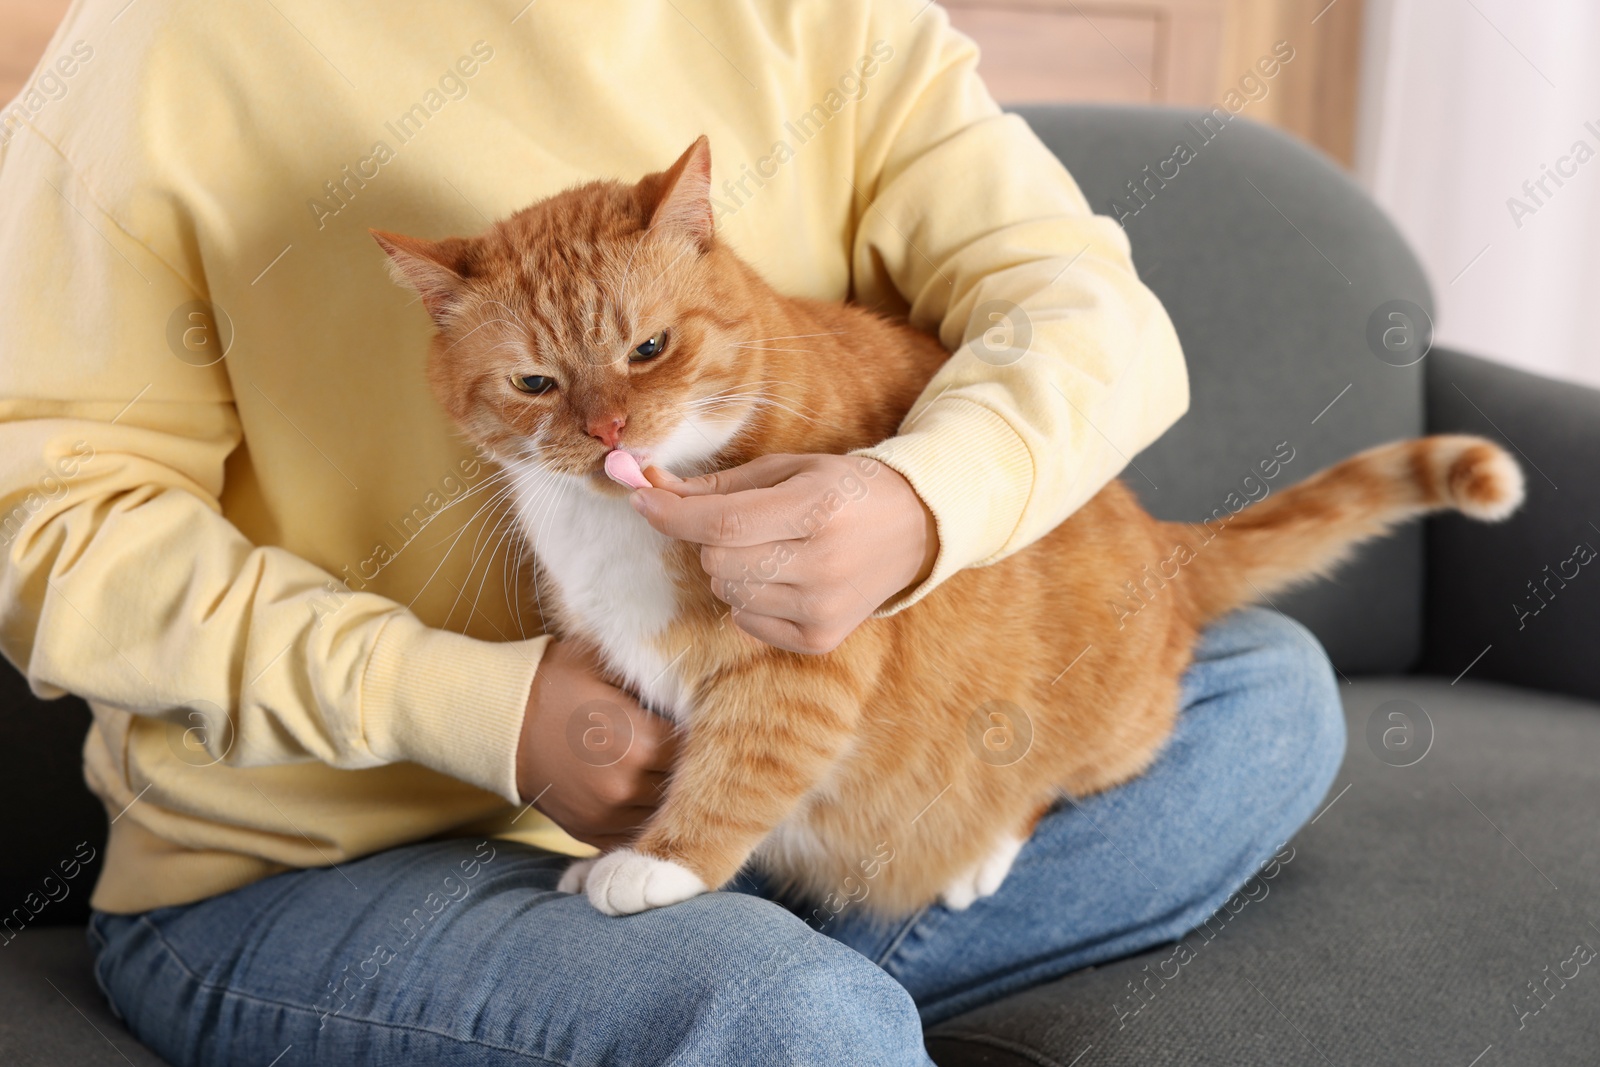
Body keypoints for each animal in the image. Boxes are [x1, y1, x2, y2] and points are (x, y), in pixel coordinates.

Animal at [374, 135, 1523, 921]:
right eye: (535, 383)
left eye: (650, 348)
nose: (607, 429)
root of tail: (1160, 536)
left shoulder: (802, 663)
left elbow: (743, 762)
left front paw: (660, 861)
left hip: (1087, 733)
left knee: (1052, 782)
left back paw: (978, 854)